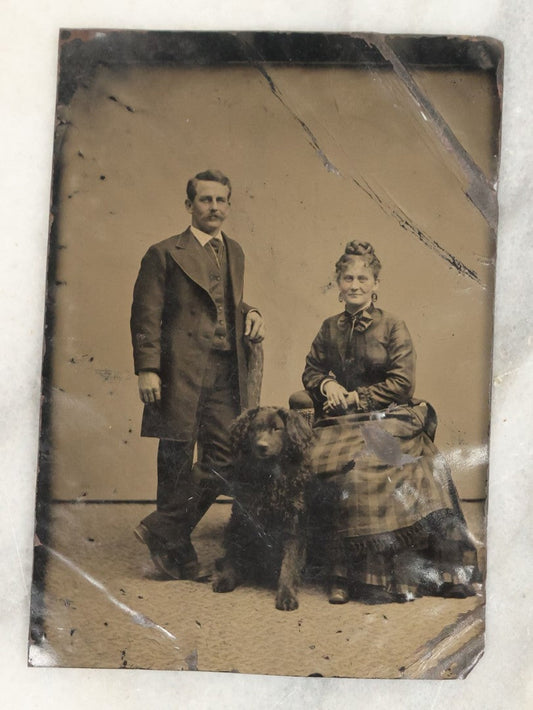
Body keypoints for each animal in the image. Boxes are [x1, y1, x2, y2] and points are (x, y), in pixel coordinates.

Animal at [211, 406, 312, 612]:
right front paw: (226, 578)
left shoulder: (294, 526)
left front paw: (286, 595)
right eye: (253, 429)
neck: (269, 477)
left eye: (277, 428)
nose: (262, 446)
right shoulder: (241, 518)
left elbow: (289, 564)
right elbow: (233, 554)